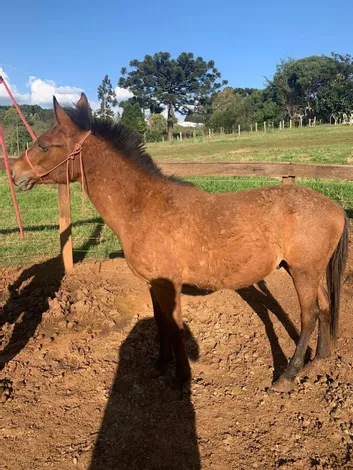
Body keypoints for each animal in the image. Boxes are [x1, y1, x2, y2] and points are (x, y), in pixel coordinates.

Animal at [11, 93, 350, 388]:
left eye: (43, 144)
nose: (14, 172)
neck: (145, 207)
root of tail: (334, 208)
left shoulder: (169, 284)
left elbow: (174, 328)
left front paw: (181, 377)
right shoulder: (153, 284)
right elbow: (161, 325)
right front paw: (161, 363)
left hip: (303, 272)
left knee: (308, 316)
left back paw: (288, 375)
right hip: (306, 271)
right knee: (323, 307)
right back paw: (320, 357)